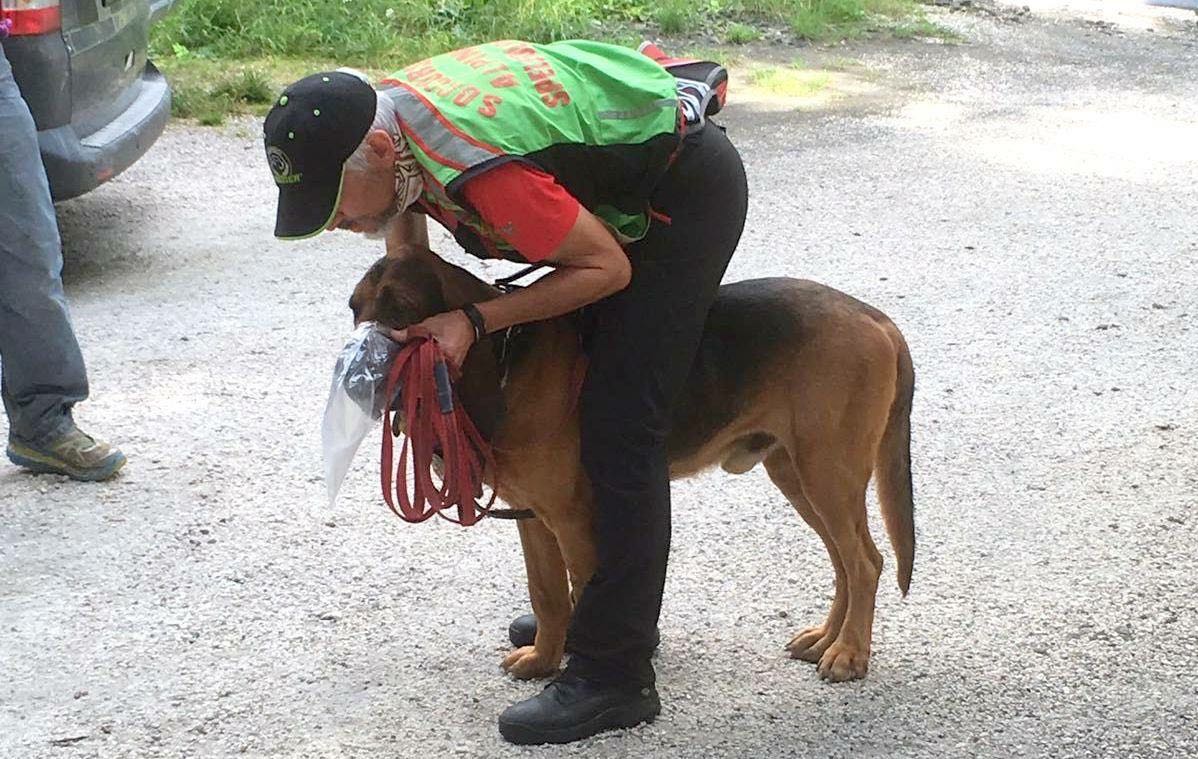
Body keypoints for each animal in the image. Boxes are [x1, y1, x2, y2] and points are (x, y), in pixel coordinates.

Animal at [349, 245, 915, 684]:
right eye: (354, 307)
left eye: (401, 308)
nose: (357, 373)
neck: (506, 356)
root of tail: (876, 318)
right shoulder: (533, 518)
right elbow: (548, 594)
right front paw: (544, 658)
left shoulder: (574, 522)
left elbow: (586, 595)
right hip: (797, 474)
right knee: (845, 562)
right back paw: (828, 637)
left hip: (827, 475)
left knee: (866, 563)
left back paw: (848, 653)